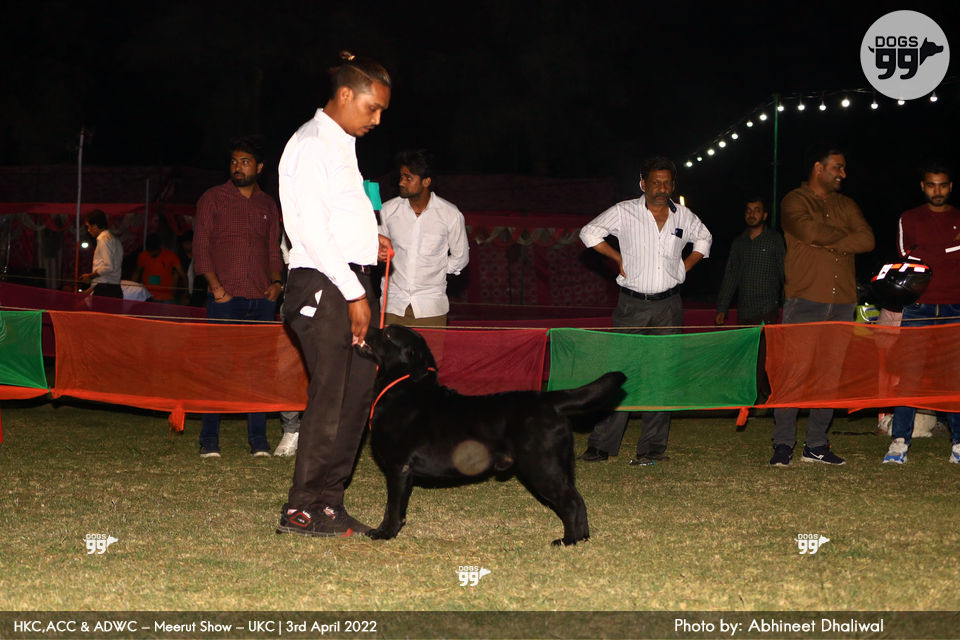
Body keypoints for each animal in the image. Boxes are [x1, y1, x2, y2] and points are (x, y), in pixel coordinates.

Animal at [357, 325, 626, 546]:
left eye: (388, 334)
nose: (366, 325)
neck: (402, 387)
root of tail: (549, 400)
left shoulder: (399, 467)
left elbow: (392, 506)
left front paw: (384, 533)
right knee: (577, 499)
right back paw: (581, 539)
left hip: (542, 466)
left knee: (571, 502)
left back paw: (568, 541)